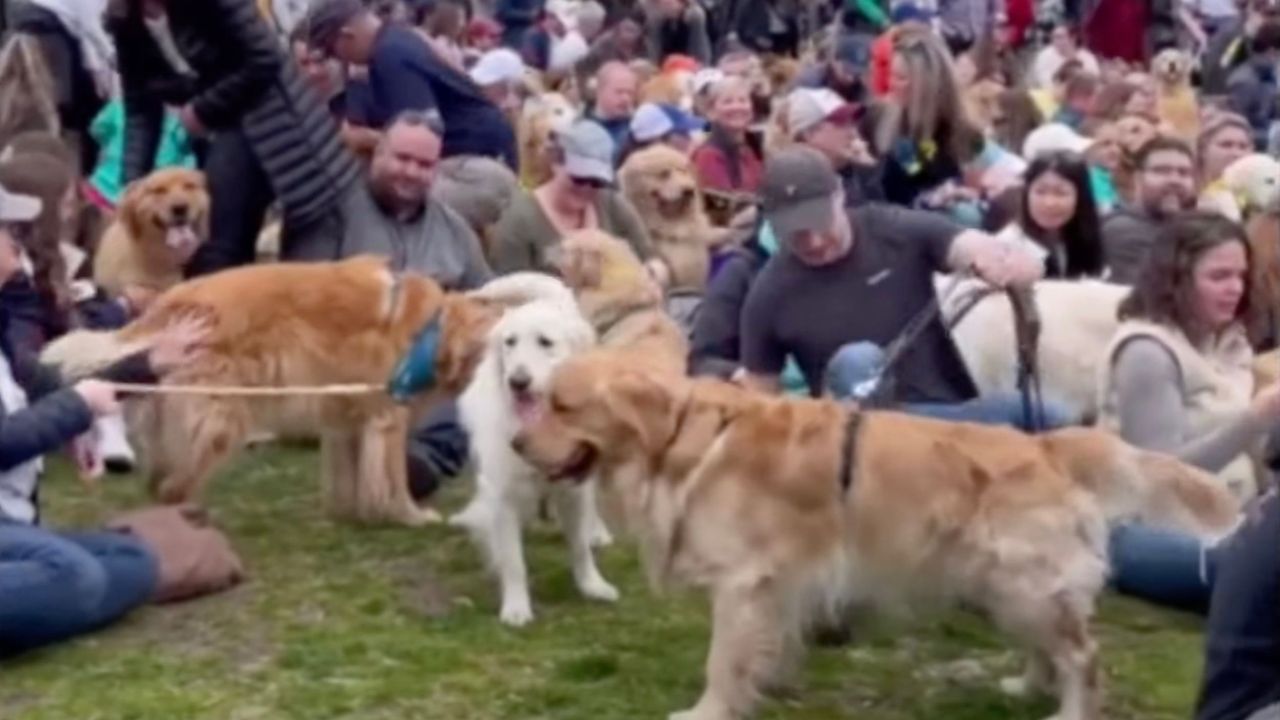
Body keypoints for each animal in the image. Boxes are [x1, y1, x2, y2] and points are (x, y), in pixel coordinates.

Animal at [453, 288, 616, 625]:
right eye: (510, 342)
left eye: (545, 342)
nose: (517, 382)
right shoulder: (503, 497)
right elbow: (514, 561)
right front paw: (516, 608)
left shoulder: (573, 492)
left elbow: (580, 547)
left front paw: (592, 585)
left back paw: (596, 531)